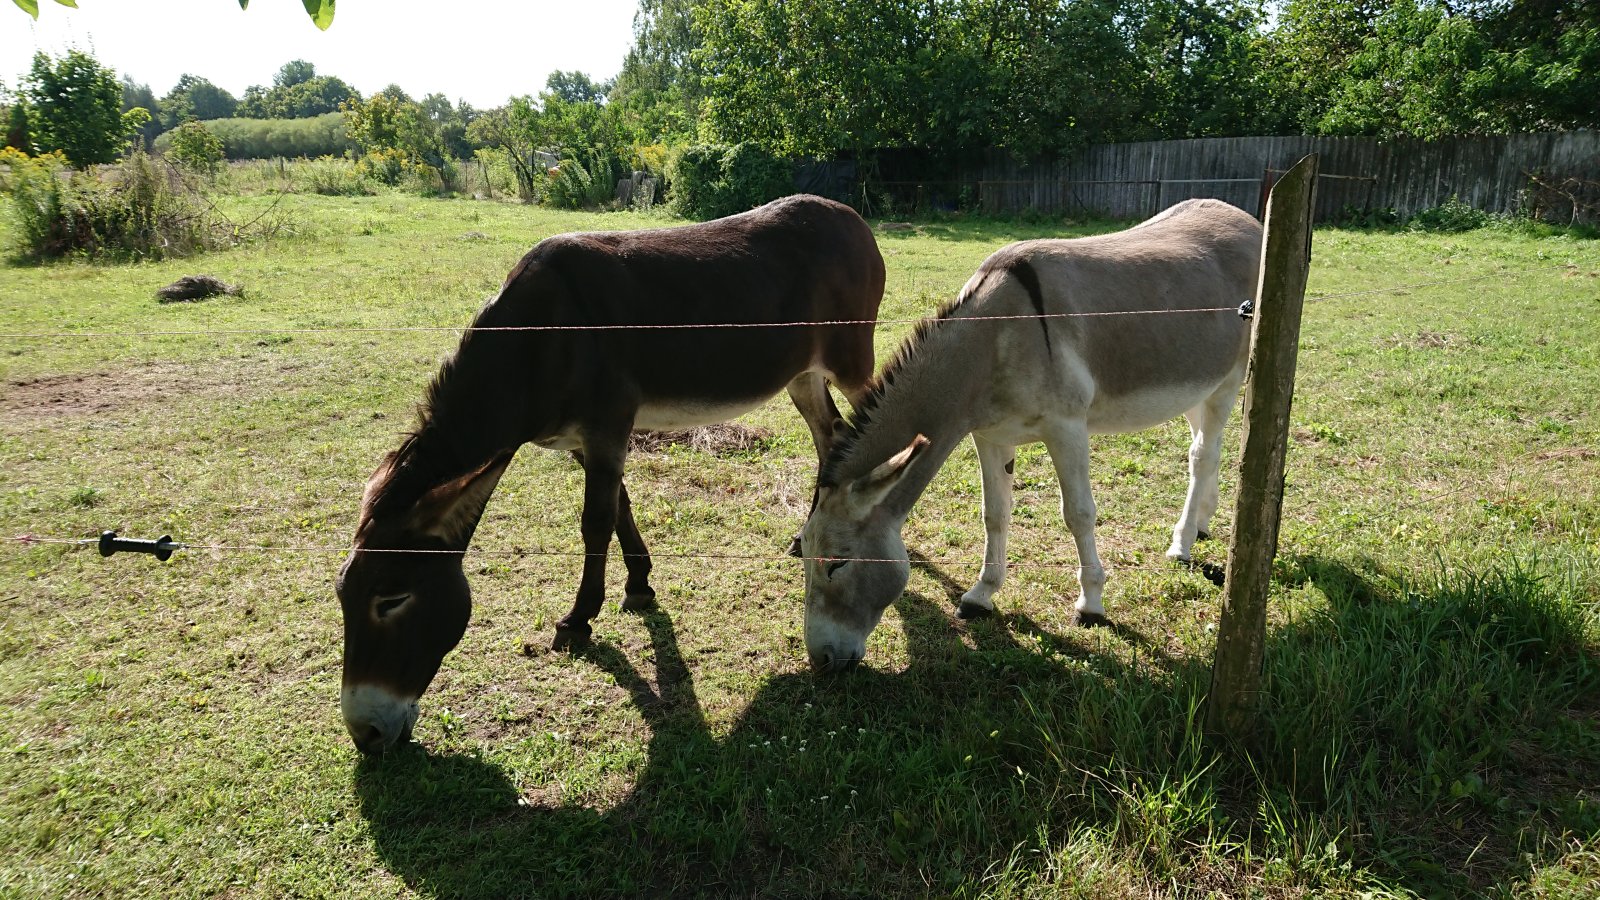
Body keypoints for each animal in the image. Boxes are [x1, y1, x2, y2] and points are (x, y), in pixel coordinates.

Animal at [337, 194, 885, 753]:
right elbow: (620, 505)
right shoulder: (584, 441)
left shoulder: (607, 426)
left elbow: (594, 522)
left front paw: (579, 619)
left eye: (392, 600)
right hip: (802, 373)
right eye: (343, 597)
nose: (366, 734)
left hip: (850, 359)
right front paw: (639, 584)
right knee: (831, 437)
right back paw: (806, 536)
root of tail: (848, 215)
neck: (539, 341)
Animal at [798, 199, 1262, 673]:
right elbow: (995, 515)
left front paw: (1091, 604)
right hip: (1195, 386)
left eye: (837, 564)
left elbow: (1078, 514)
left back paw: (1182, 543)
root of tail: (1246, 219)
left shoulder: (1066, 427)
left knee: (1204, 454)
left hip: (1229, 380)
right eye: (804, 555)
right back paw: (1202, 521)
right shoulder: (990, 436)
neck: (994, 340)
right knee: (1203, 448)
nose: (821, 661)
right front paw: (981, 595)